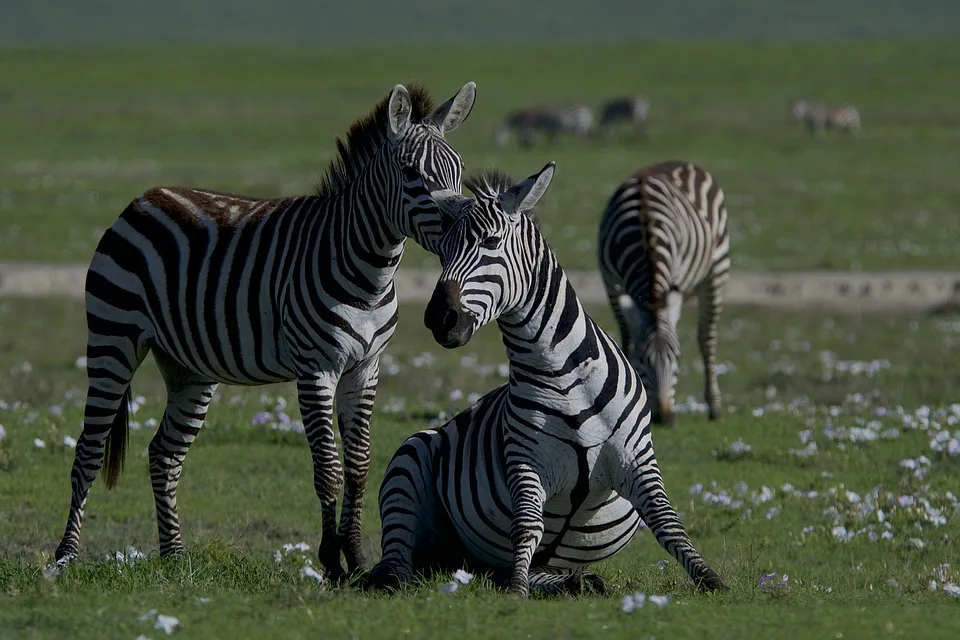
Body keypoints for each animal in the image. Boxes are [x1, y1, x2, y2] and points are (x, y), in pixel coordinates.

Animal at [50, 80, 478, 580]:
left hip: (189, 368)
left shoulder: (365, 368)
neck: (369, 273)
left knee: (164, 453)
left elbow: (358, 465)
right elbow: (328, 467)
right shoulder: (316, 369)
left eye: (459, 171)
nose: (463, 228)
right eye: (411, 173)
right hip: (112, 339)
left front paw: (356, 559)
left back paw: (174, 556)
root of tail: (143, 199)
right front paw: (331, 561)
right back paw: (65, 556)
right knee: (88, 451)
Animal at [596, 162, 732, 428]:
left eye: (677, 357)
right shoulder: (611, 284)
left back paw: (714, 408)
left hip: (716, 270)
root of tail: (682, 162)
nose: (664, 418)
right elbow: (627, 337)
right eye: (640, 359)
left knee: (707, 338)